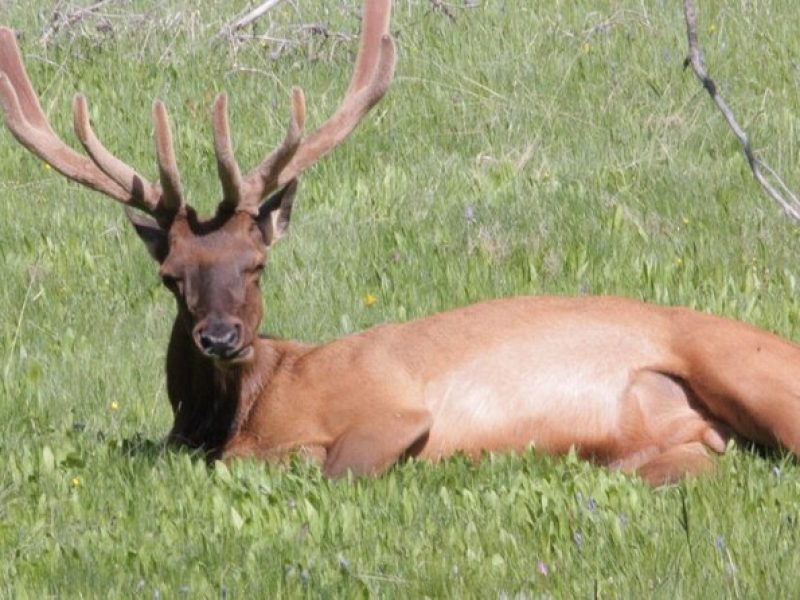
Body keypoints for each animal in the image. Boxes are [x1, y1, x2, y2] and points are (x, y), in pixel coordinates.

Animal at [4, 1, 800, 488]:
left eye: (256, 265)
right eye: (172, 274)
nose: (221, 336)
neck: (243, 410)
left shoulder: (390, 409)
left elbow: (325, 465)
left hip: (750, 368)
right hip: (675, 449)